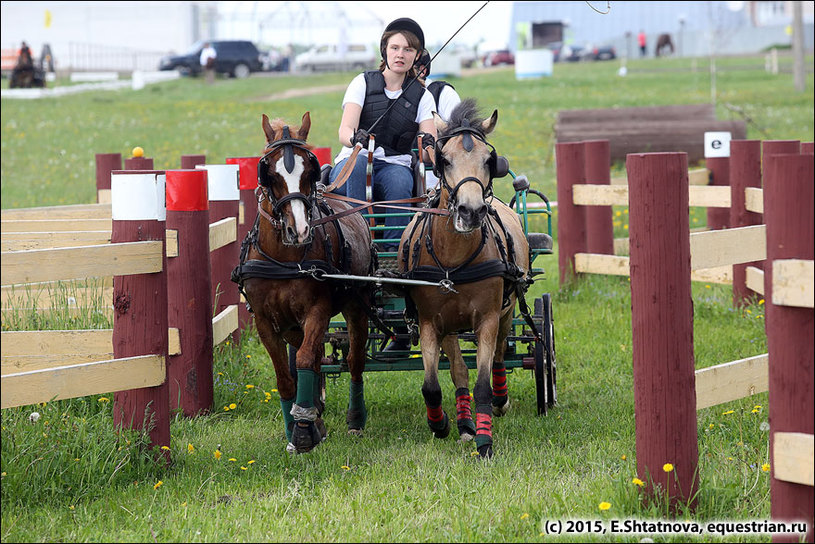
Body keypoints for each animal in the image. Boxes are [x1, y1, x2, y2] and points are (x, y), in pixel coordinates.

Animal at [233, 112, 376, 452]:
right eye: (267, 172)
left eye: (309, 170)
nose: (298, 230)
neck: (283, 259)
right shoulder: (265, 321)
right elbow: (286, 375)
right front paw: (297, 428)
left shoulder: (317, 310)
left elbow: (307, 359)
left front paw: (302, 429)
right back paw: (316, 413)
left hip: (357, 305)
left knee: (353, 359)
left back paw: (354, 418)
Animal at [396, 99, 536, 460]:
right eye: (444, 159)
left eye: (489, 159)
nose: (471, 212)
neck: (453, 261)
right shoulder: (431, 322)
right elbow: (432, 385)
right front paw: (442, 424)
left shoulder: (487, 318)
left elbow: (482, 383)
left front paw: (485, 441)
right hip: (450, 327)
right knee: (458, 369)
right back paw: (463, 423)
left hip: (506, 311)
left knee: (500, 353)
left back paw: (499, 401)